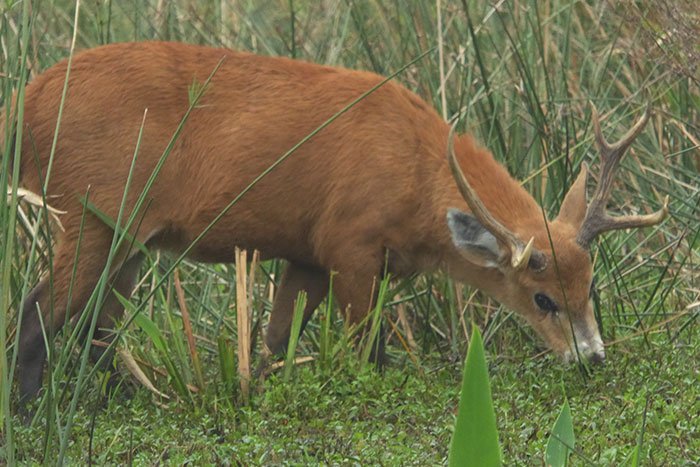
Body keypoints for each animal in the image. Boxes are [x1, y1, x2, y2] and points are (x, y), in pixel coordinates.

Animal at [1, 42, 668, 404]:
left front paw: (255, 396)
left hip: (131, 239)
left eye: (591, 288)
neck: (417, 170)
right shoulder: (351, 243)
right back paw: (32, 416)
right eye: (541, 297)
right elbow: (370, 353)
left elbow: (272, 345)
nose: (592, 357)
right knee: (36, 315)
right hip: (92, 213)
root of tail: (24, 102)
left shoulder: (308, 254)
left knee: (97, 328)